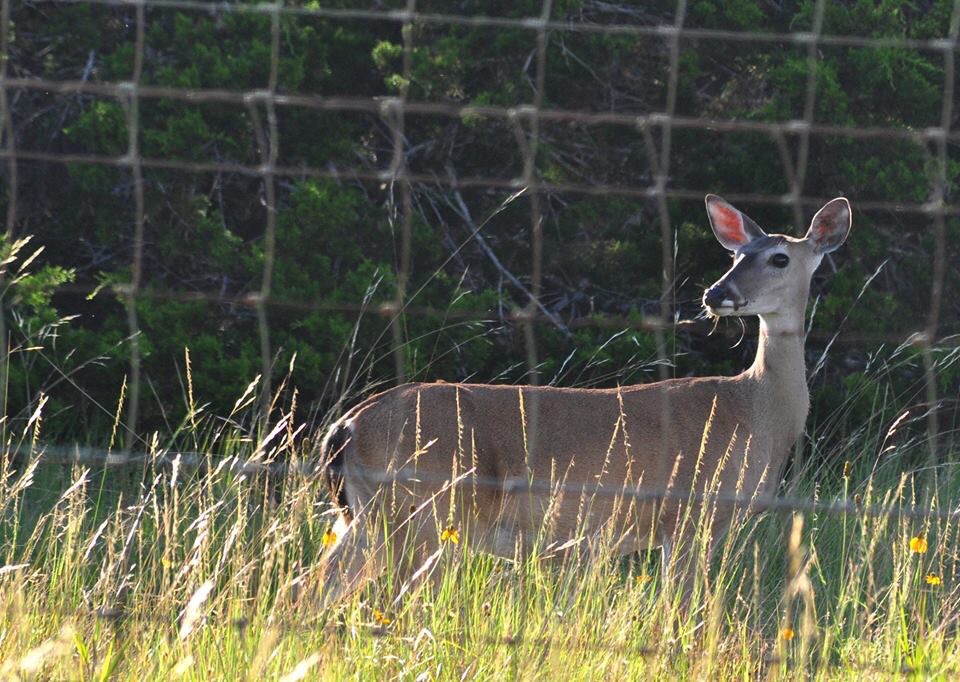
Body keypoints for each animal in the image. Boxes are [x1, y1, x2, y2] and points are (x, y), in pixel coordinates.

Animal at [310, 194, 851, 605]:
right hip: (420, 514)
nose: (715, 293)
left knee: (312, 587)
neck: (755, 410)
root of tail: (347, 426)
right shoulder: (691, 516)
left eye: (779, 258)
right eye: (736, 257)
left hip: (368, 517)